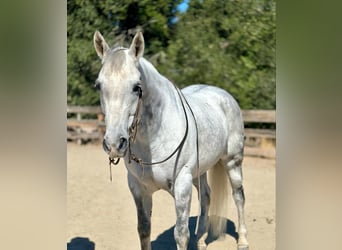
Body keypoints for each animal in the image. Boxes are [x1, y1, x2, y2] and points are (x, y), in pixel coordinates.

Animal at [93, 31, 248, 250]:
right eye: (99, 85)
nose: (114, 144)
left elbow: (181, 234)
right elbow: (144, 229)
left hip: (233, 162)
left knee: (238, 196)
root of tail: (224, 95)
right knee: (206, 196)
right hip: (199, 171)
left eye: (136, 87)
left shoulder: (182, 185)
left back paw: (242, 240)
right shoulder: (138, 189)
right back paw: (201, 240)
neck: (154, 139)